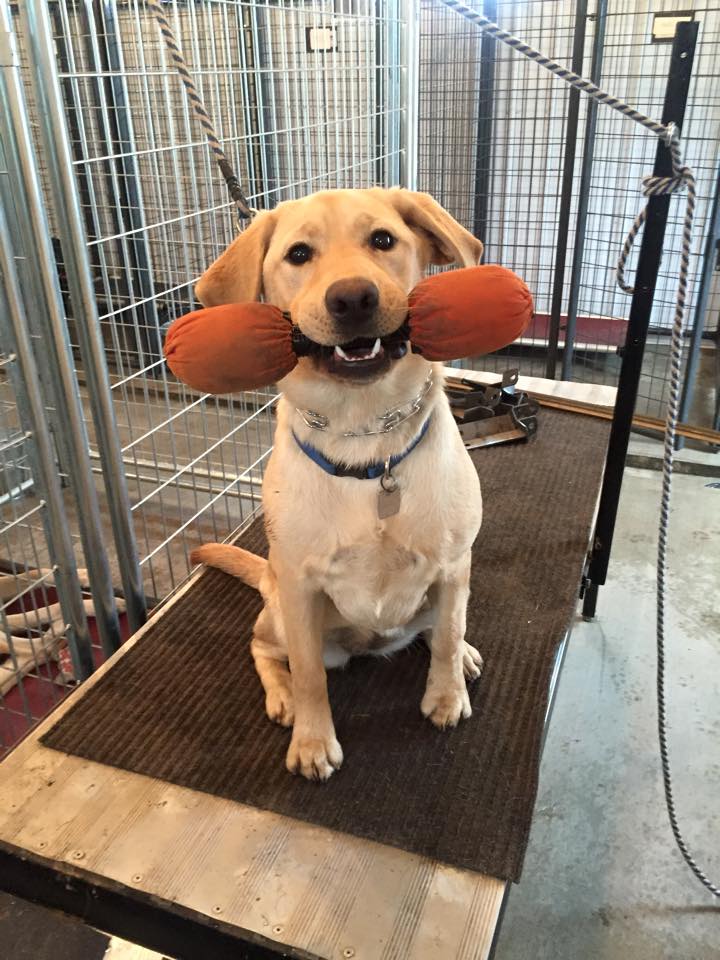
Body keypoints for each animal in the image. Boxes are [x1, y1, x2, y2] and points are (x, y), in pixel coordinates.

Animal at [191, 188, 484, 780]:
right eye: (299, 254)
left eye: (383, 239)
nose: (352, 299)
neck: (365, 436)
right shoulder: (302, 587)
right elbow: (309, 677)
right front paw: (311, 741)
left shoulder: (453, 564)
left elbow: (447, 635)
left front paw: (445, 695)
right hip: (281, 612)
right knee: (262, 647)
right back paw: (281, 697)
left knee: (444, 625)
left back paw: (463, 657)